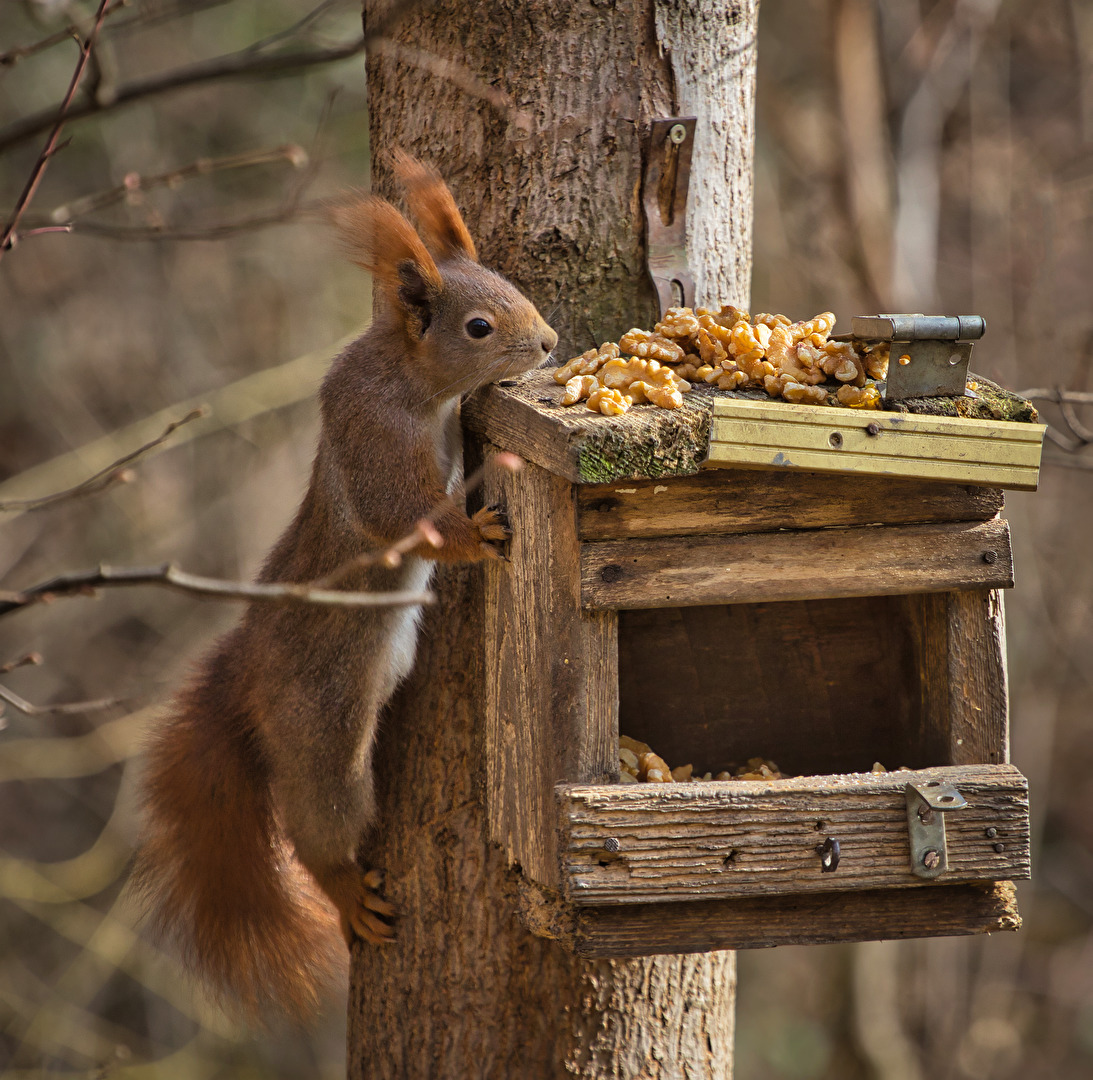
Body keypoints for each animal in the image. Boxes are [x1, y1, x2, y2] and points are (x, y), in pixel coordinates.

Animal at [133, 156, 559, 1018]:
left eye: (512, 287)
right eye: (478, 328)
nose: (548, 342)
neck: (408, 379)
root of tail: (248, 669)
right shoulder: (375, 440)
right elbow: (402, 517)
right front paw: (476, 536)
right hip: (321, 733)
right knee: (319, 822)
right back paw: (340, 889)